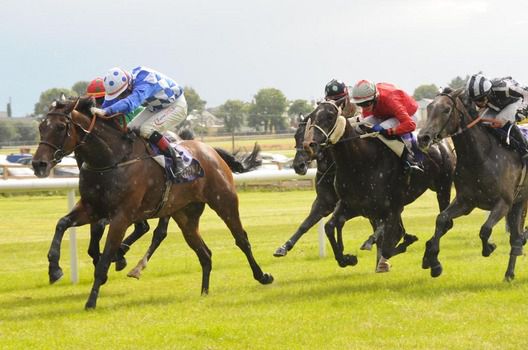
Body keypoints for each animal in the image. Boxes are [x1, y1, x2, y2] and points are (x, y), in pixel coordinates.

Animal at [32, 97, 274, 308]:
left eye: (60, 127)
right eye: (41, 127)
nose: (38, 164)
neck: (111, 160)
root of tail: (210, 150)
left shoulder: (121, 217)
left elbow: (104, 259)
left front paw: (91, 301)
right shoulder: (92, 209)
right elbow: (62, 224)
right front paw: (54, 269)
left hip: (224, 202)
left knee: (241, 239)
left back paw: (262, 276)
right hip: (185, 215)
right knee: (204, 253)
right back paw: (204, 293)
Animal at [304, 101, 456, 270]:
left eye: (330, 116)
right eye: (311, 116)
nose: (309, 145)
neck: (359, 163)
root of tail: (442, 142)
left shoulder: (390, 206)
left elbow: (387, 238)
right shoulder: (353, 206)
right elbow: (330, 227)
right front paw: (347, 258)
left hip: (443, 186)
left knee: (446, 222)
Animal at [416, 88, 528, 282]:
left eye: (446, 110)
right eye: (428, 108)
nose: (423, 137)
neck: (480, 157)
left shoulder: (503, 203)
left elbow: (485, 229)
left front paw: (489, 247)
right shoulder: (466, 202)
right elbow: (441, 219)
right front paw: (435, 263)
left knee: (516, 237)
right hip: (519, 202)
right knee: (516, 237)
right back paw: (509, 273)